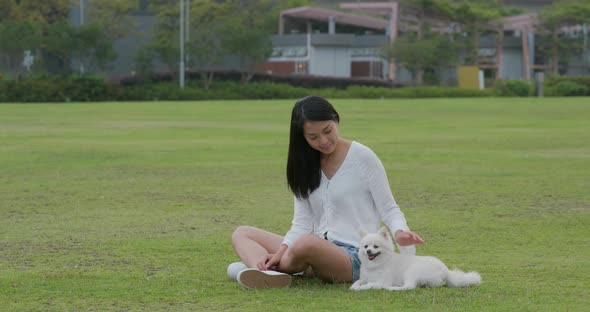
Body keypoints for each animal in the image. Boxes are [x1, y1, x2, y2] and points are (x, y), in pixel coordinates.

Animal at [352, 227, 480, 290]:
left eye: (375, 246)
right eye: (366, 246)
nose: (368, 251)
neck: (376, 264)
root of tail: (446, 271)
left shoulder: (382, 281)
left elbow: (369, 285)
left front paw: (361, 288)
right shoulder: (364, 278)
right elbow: (357, 282)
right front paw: (355, 286)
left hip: (411, 271)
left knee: (409, 287)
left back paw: (391, 288)